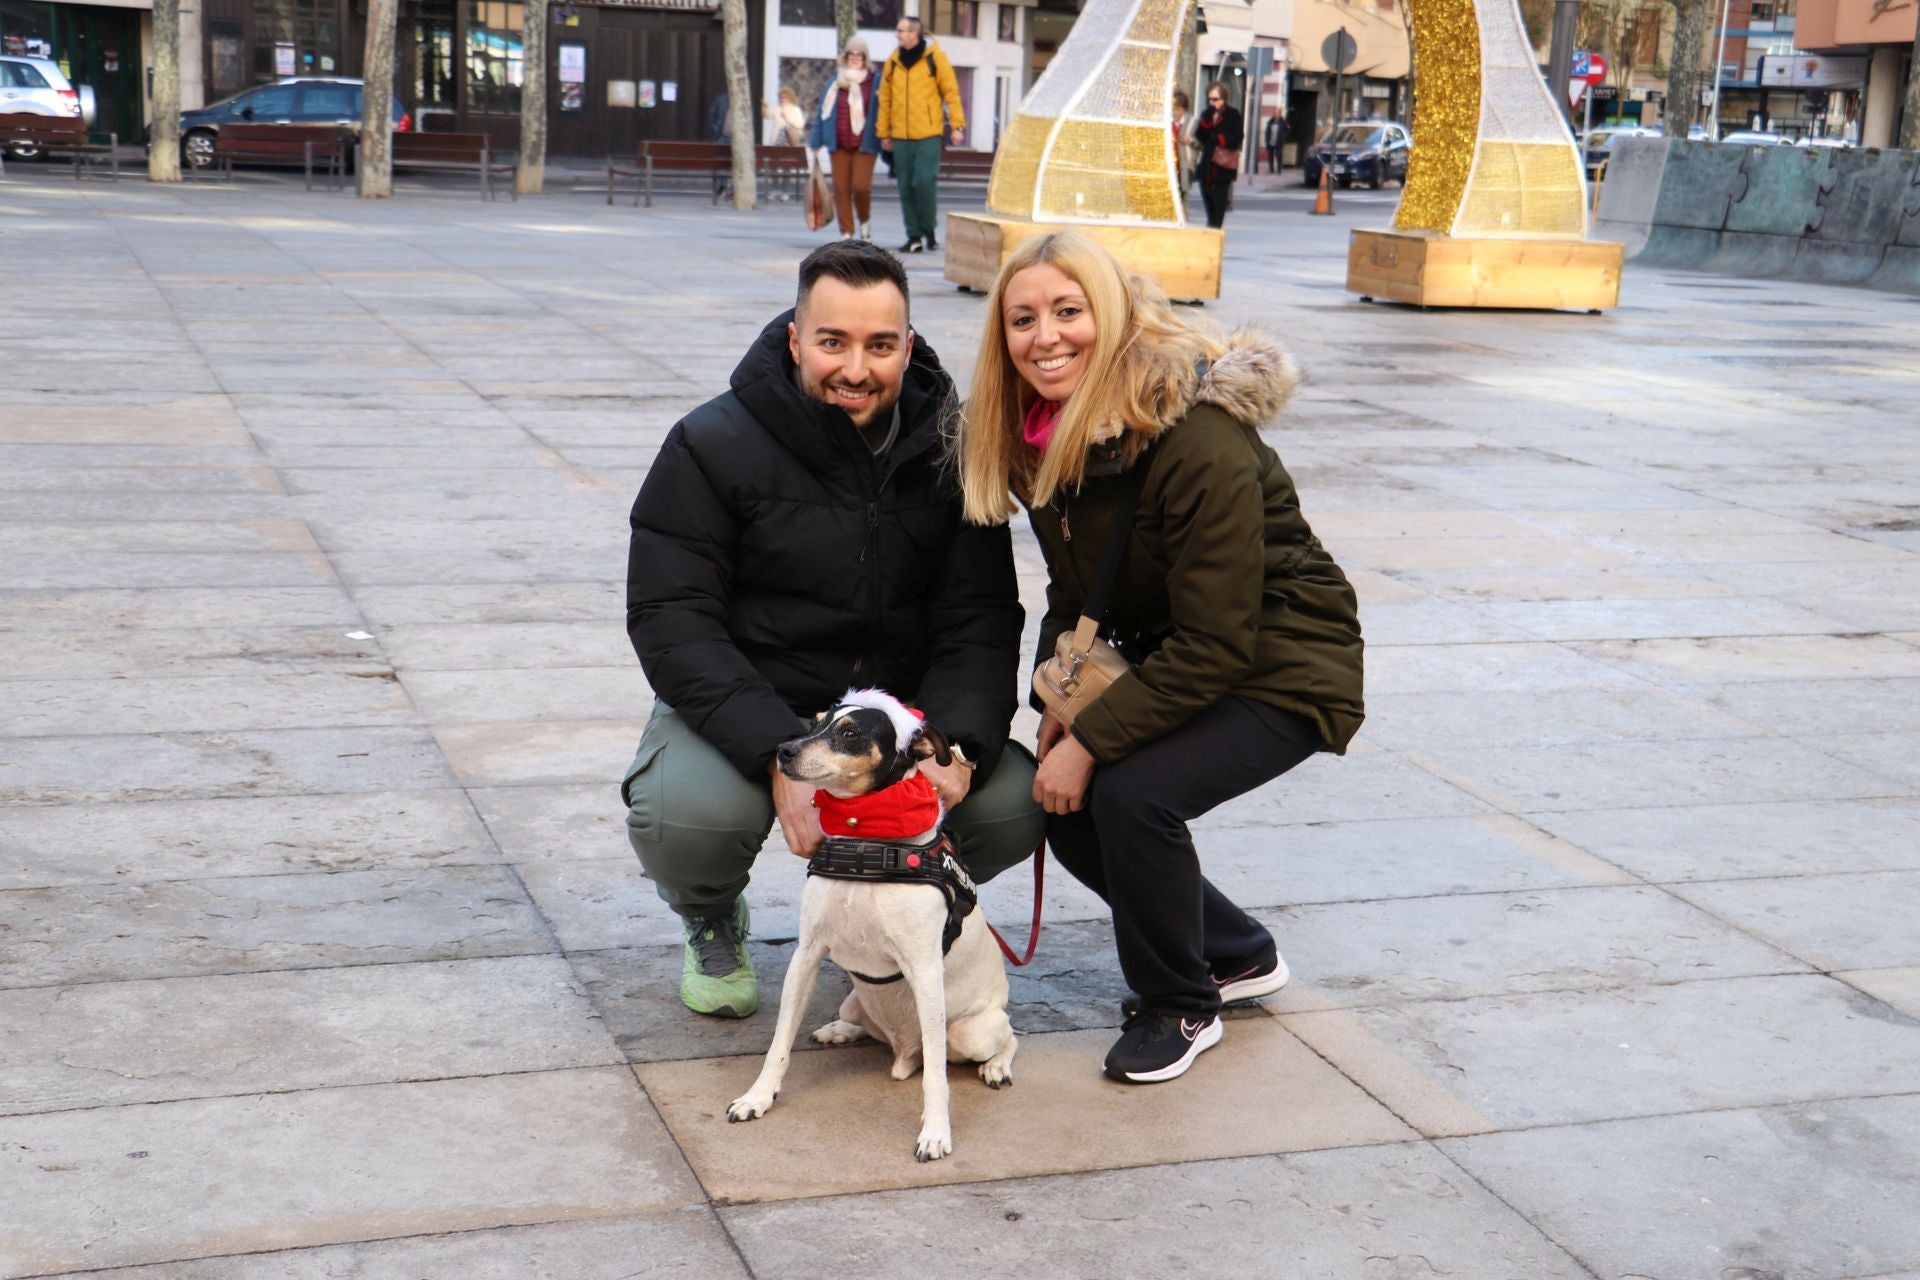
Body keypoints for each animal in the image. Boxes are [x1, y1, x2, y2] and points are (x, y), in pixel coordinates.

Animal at [721, 690, 1021, 1159]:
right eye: (816, 722)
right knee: (867, 1026)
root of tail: (904, 1055)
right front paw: (758, 1097)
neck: (867, 843)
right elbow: (779, 1044)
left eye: (850, 733)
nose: (784, 750)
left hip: (972, 1031)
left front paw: (936, 1133)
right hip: (855, 1002)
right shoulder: (806, 955)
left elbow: (937, 1076)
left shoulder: (925, 970)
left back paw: (996, 1067)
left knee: (1005, 1040)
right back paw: (840, 1030)